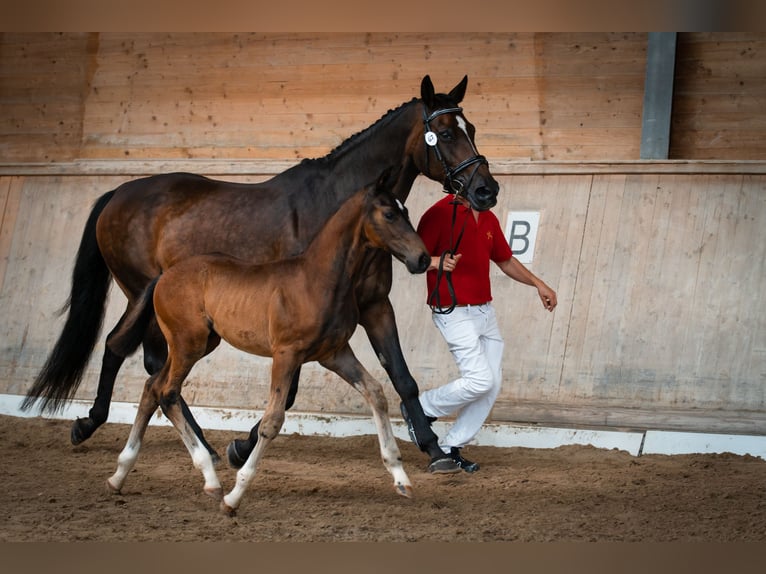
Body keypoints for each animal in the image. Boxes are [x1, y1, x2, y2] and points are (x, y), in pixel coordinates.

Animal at [21, 74, 500, 474]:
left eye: (473, 129)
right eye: (447, 132)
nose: (486, 191)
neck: (337, 205)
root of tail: (119, 192)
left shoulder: (374, 305)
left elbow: (403, 376)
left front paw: (437, 451)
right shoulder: (298, 320)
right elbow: (288, 392)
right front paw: (242, 447)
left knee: (144, 361)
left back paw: (192, 443)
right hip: (142, 292)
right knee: (133, 353)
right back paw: (99, 426)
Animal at [106, 172, 428, 516]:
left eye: (406, 211)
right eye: (390, 214)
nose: (422, 258)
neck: (317, 280)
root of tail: (163, 276)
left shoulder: (335, 354)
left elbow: (376, 393)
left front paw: (401, 478)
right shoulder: (286, 354)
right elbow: (272, 421)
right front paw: (234, 497)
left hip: (202, 343)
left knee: (152, 387)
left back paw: (119, 475)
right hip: (187, 344)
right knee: (167, 392)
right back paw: (210, 479)